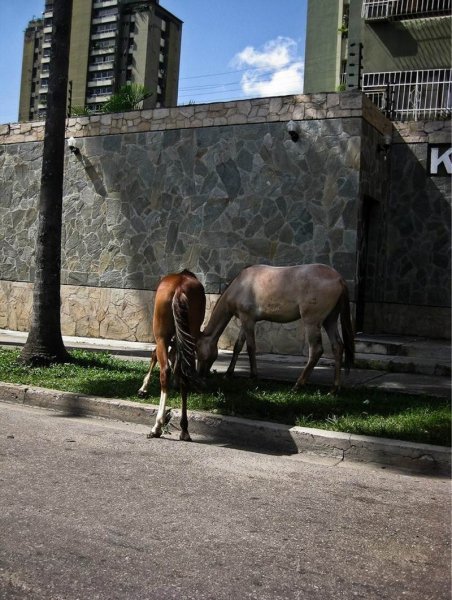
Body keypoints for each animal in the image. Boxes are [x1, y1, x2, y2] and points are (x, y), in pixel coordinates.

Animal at [139, 270, 206, 438]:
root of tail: (179, 289)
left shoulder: (164, 339)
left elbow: (154, 355)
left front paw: (143, 388)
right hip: (191, 335)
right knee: (184, 373)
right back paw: (184, 429)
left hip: (161, 335)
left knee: (165, 371)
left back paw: (157, 426)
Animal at [196, 264, 354, 392]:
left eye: (197, 351)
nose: (200, 373)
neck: (241, 284)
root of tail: (338, 278)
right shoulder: (245, 320)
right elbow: (238, 346)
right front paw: (228, 374)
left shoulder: (248, 320)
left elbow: (251, 347)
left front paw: (253, 376)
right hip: (330, 320)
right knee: (337, 346)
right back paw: (334, 388)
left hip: (312, 322)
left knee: (316, 350)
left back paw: (298, 385)